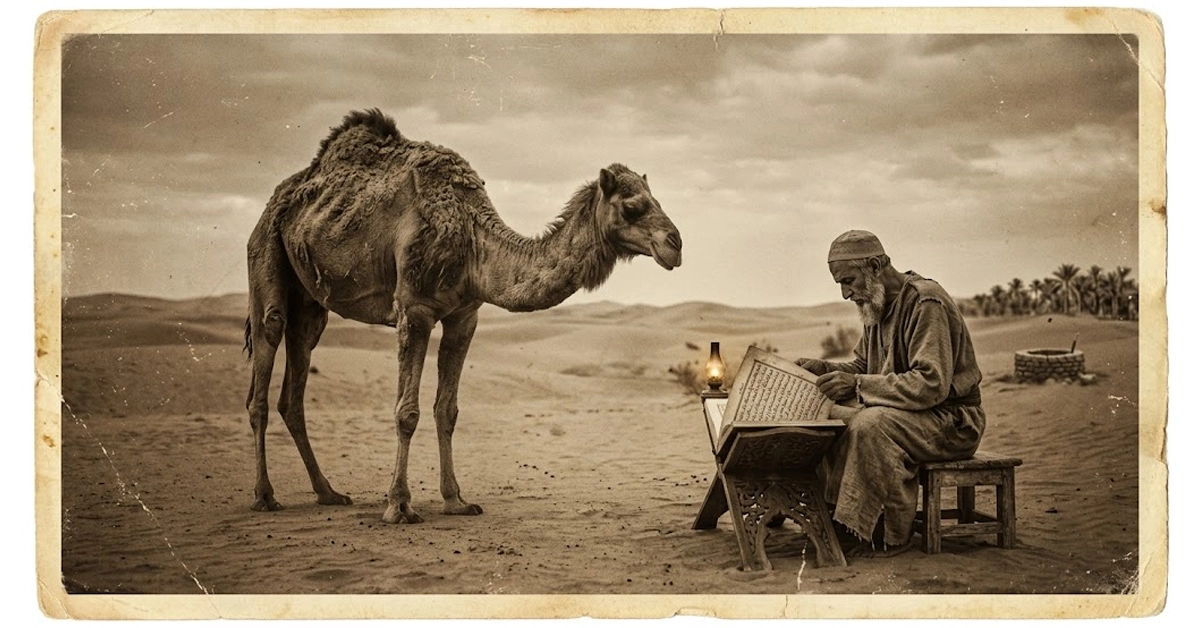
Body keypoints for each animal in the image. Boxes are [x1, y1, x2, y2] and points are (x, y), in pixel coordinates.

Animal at [244, 109, 682, 523]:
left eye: (658, 201)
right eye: (632, 207)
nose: (675, 243)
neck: (473, 241)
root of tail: (278, 198)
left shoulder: (463, 316)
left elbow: (447, 410)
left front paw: (456, 500)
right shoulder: (414, 309)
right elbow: (407, 412)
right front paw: (398, 506)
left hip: (310, 302)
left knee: (294, 385)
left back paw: (328, 492)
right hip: (265, 252)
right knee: (265, 360)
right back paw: (264, 496)